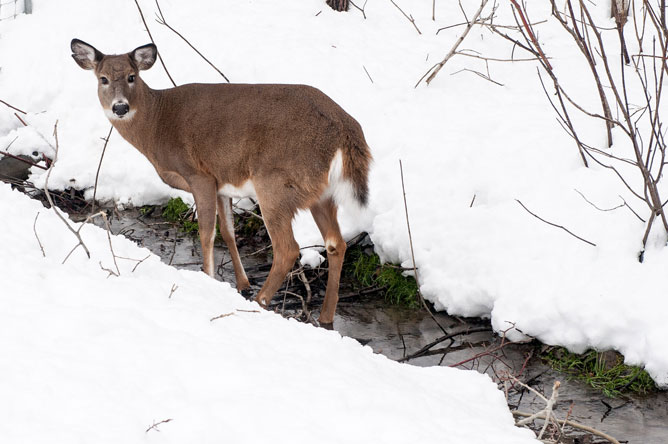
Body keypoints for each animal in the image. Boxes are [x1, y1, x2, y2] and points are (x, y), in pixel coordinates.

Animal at [70, 40, 374, 324]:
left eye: (132, 76)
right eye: (103, 79)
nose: (120, 107)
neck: (157, 124)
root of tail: (346, 130)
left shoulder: (199, 174)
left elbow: (206, 233)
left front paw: (210, 280)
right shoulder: (221, 183)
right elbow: (228, 231)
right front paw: (242, 284)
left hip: (275, 183)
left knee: (288, 248)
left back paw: (261, 301)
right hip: (321, 193)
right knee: (336, 243)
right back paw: (325, 317)